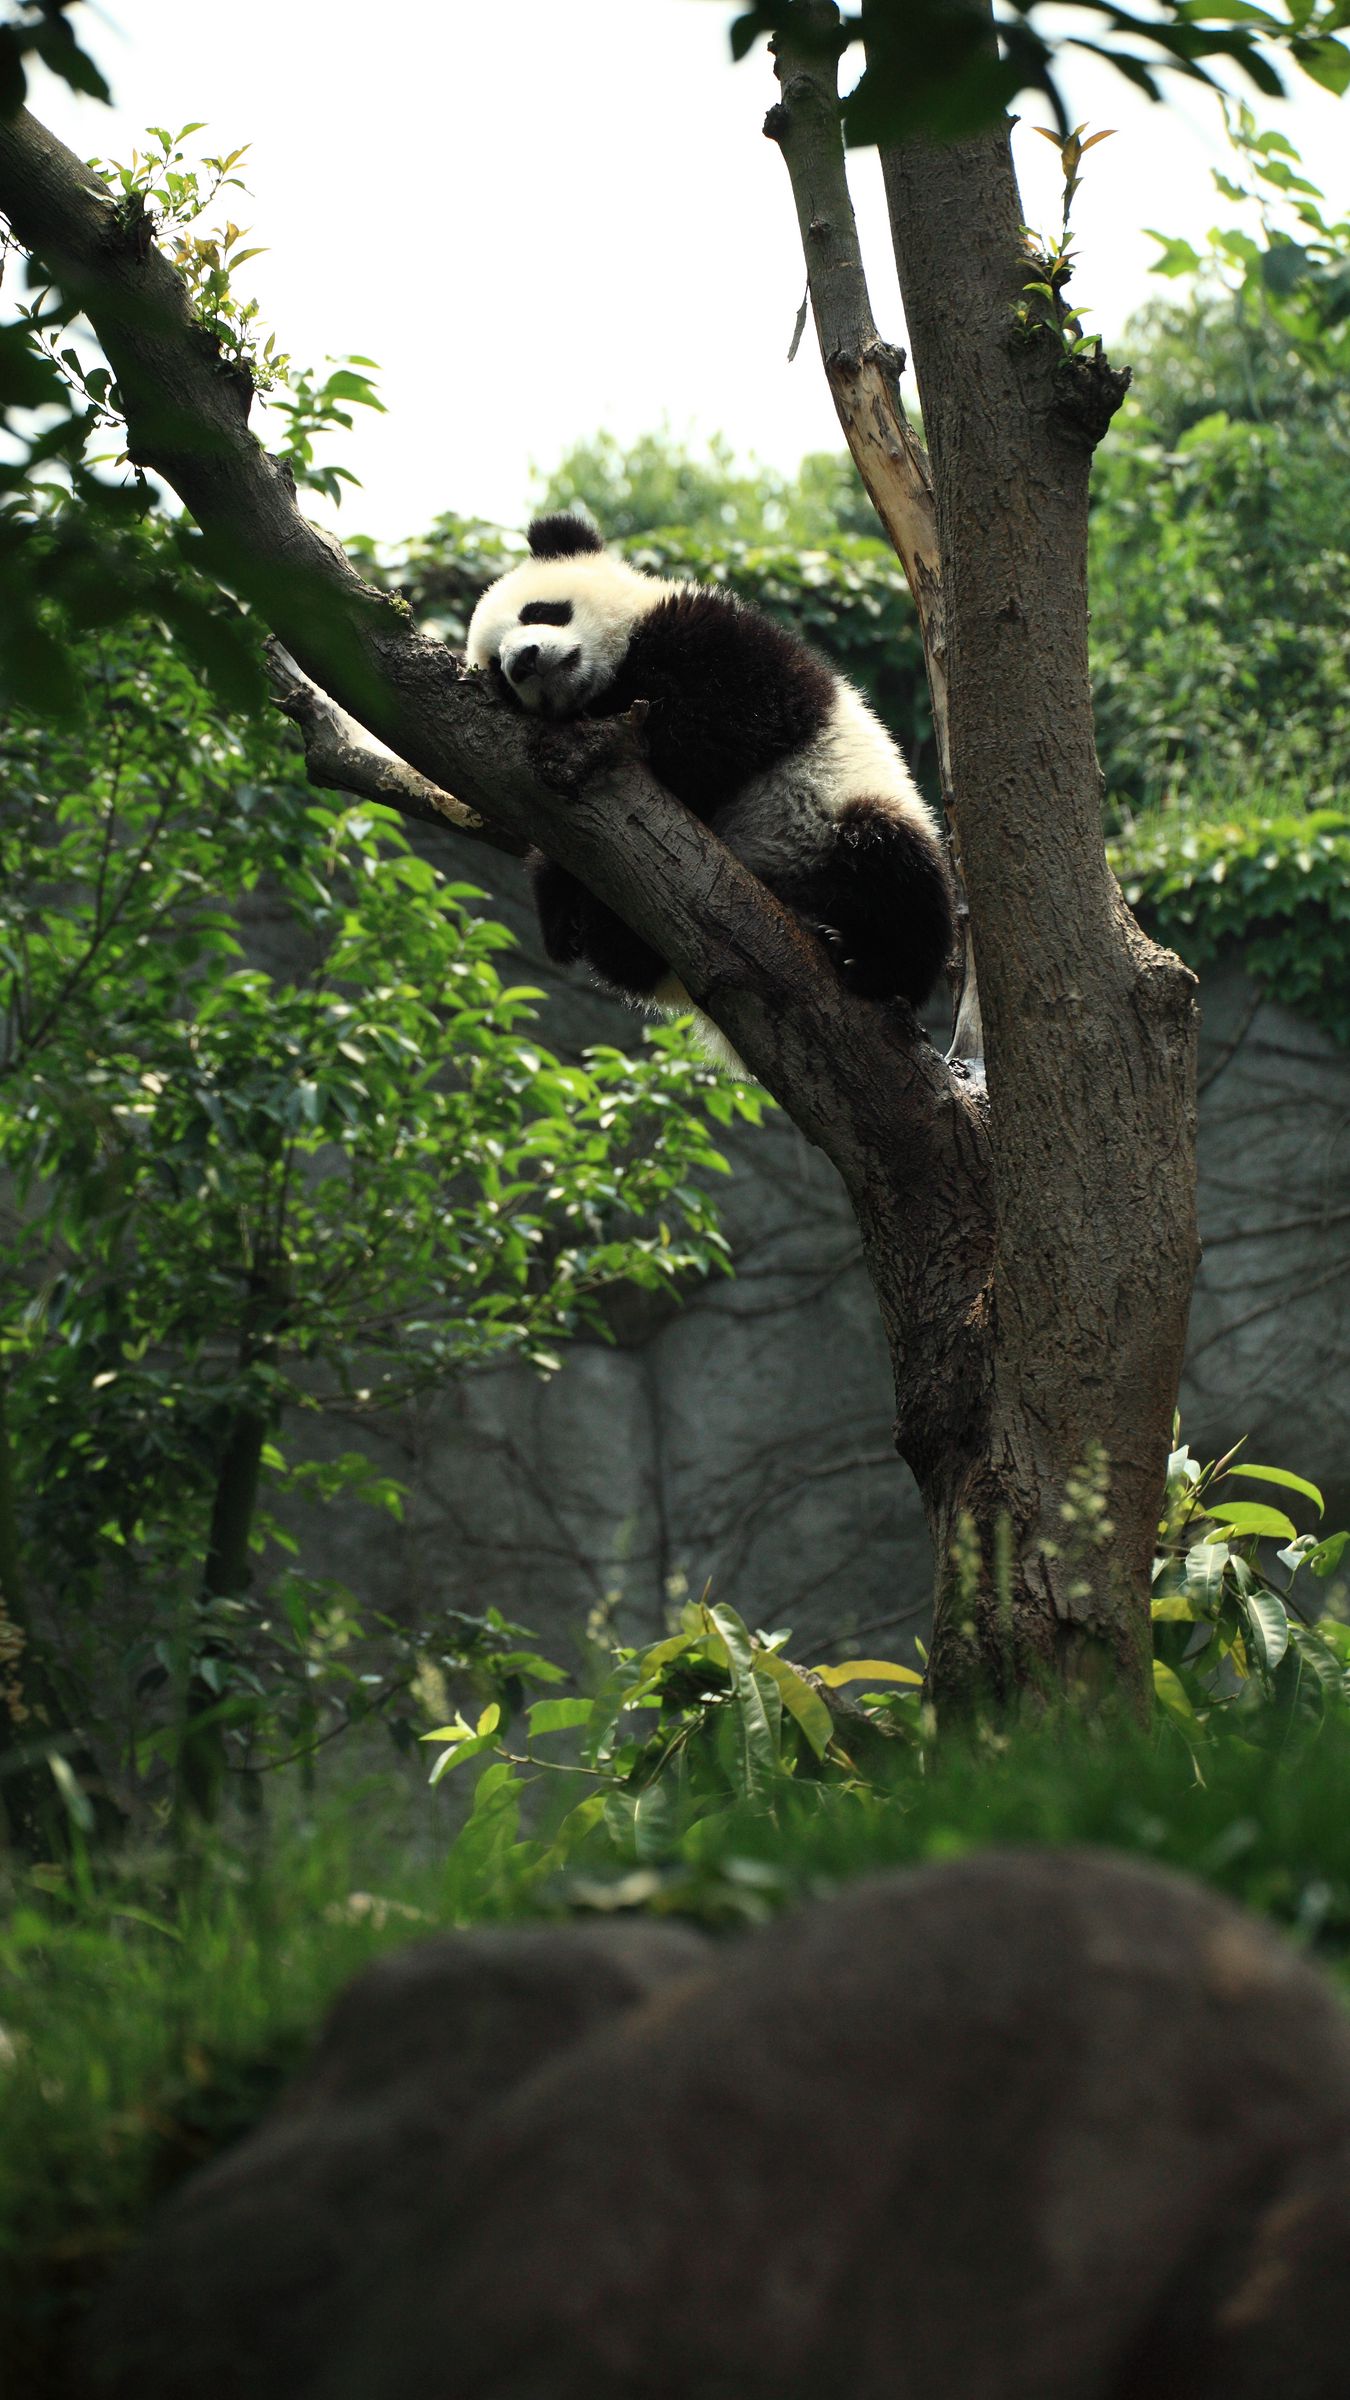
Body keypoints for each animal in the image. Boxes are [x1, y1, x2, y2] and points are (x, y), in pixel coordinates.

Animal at [468, 511, 951, 1065]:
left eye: (539, 610)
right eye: (496, 672)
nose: (521, 661)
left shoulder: (721, 639)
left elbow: (719, 723)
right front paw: (558, 907)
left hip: (843, 811)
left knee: (897, 870)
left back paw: (863, 960)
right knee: (626, 961)